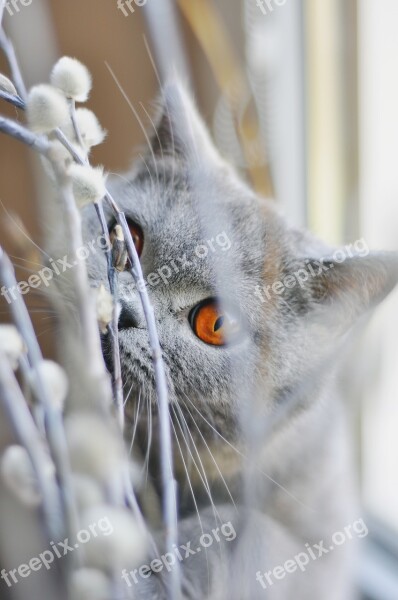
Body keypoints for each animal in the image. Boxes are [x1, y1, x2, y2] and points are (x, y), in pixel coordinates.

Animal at [81, 82, 398, 596]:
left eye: (217, 324)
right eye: (127, 237)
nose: (124, 310)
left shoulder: (323, 545)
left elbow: (244, 530)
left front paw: (155, 562)